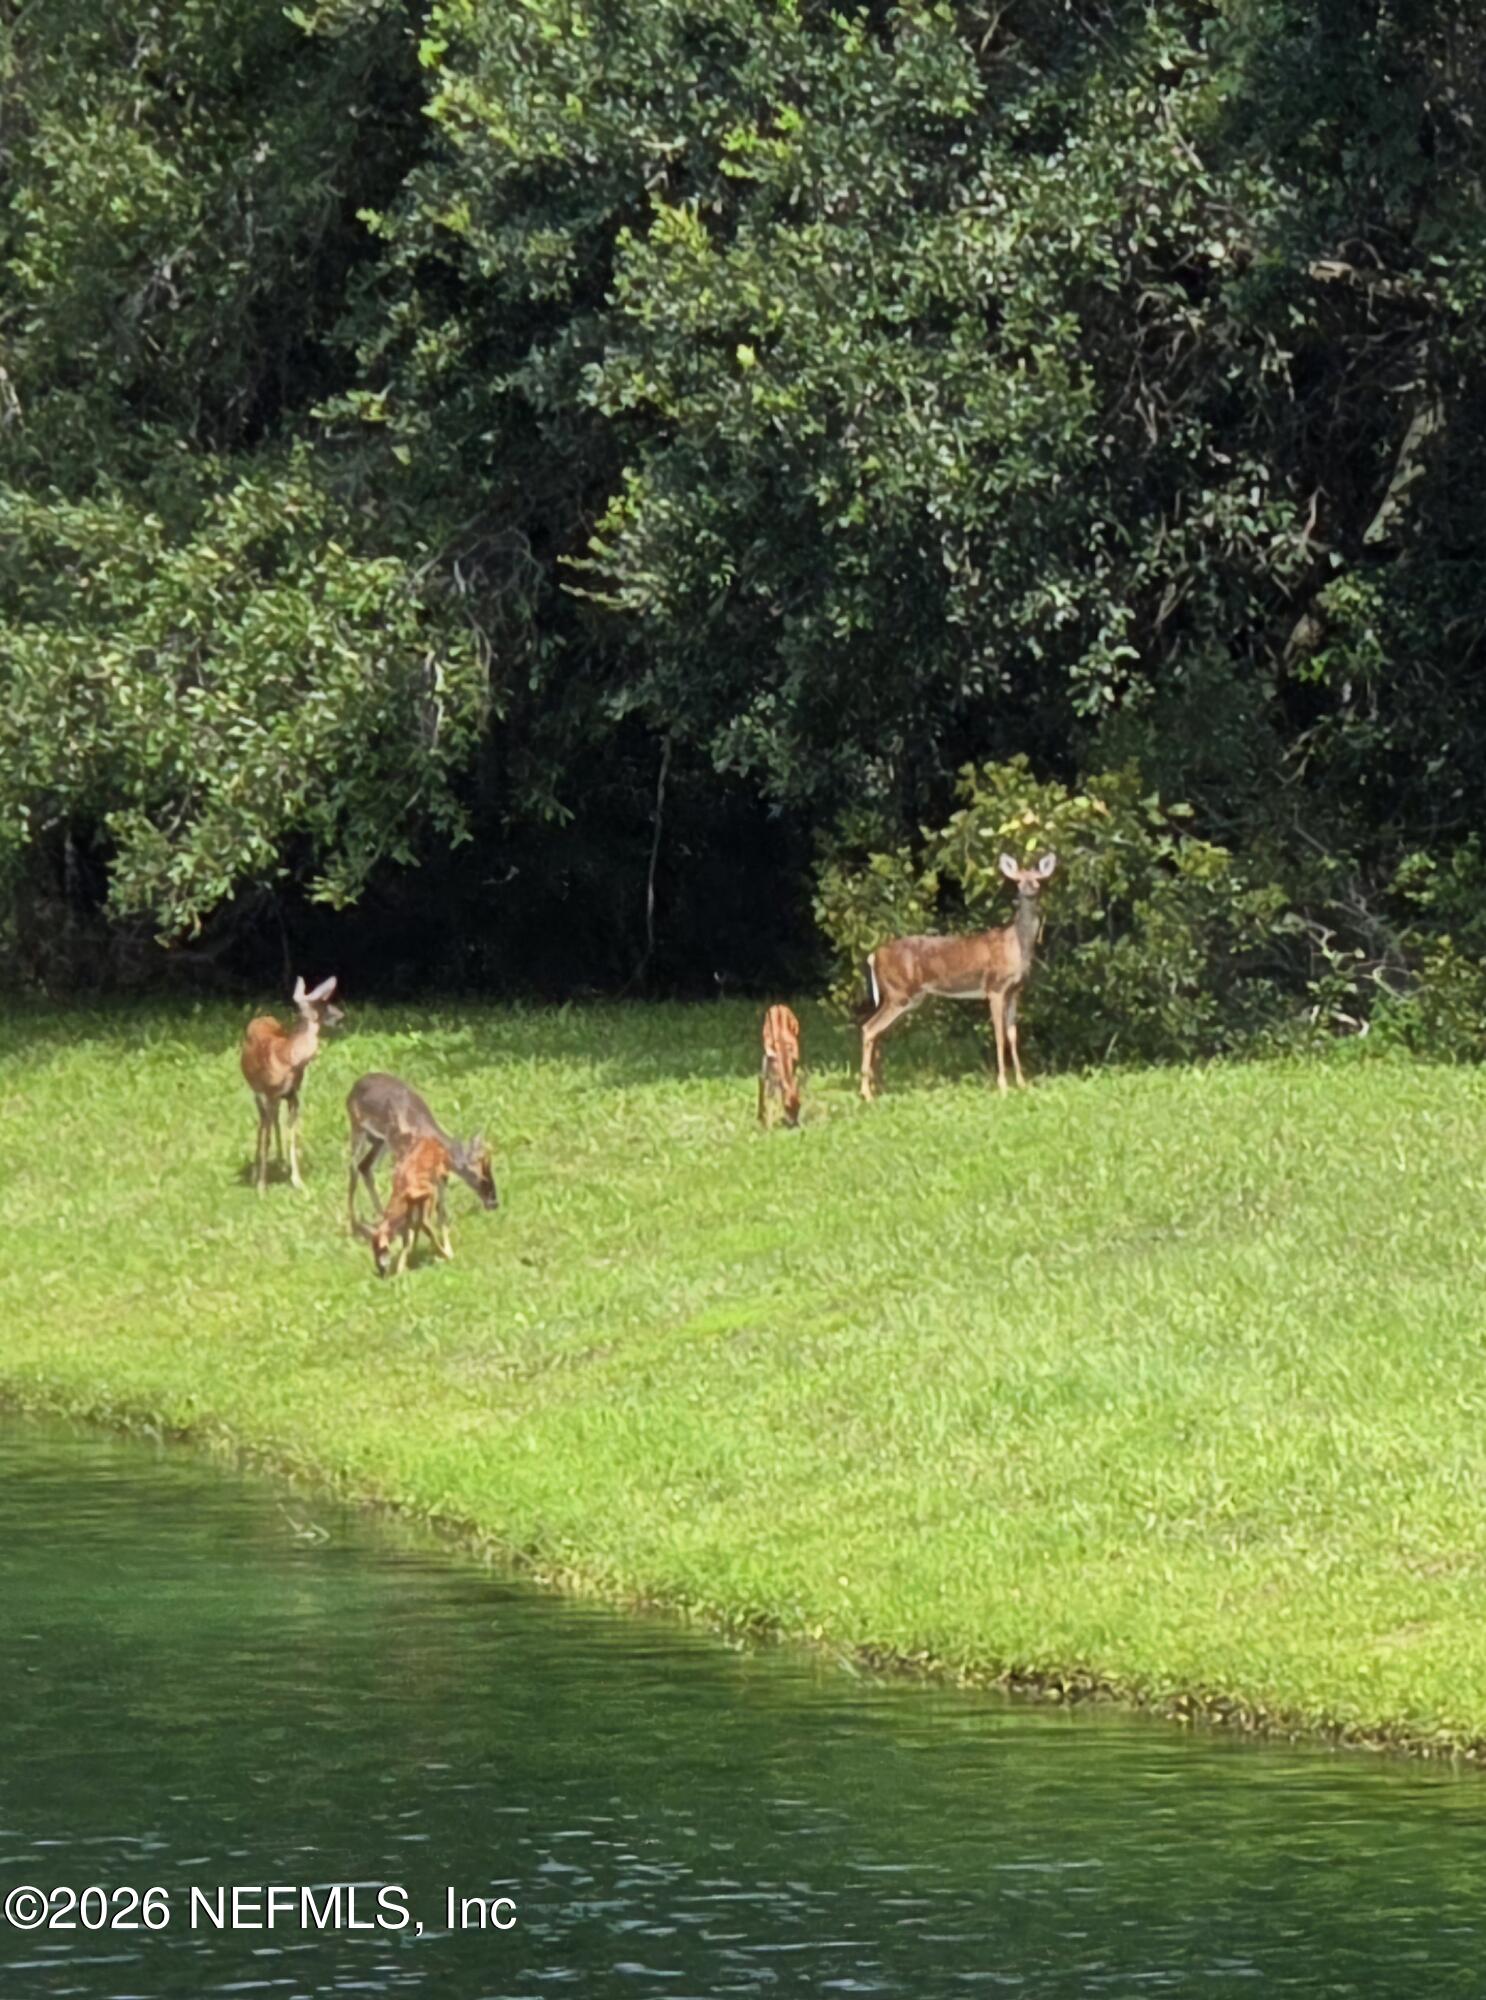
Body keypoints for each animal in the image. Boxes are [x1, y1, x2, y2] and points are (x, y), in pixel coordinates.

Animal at [240, 975, 344, 1194]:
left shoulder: (293, 1094)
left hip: (278, 1098)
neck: (290, 1059)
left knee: (274, 1121)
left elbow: (292, 1134)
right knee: (263, 1123)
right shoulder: (270, 1092)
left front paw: (297, 1180)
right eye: (323, 1002)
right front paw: (262, 1185)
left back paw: (280, 1162)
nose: (341, 1015)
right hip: (257, 1092)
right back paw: (256, 1172)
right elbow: (268, 1135)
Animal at [346, 1072, 498, 1248]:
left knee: (364, 1166)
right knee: (353, 1166)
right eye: (480, 1177)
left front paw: (443, 1227)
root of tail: (354, 1086)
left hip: (379, 1140)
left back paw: (381, 1217)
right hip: (358, 1127)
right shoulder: (402, 1155)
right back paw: (355, 1226)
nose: (494, 1202)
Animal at [369, 1137, 454, 1277]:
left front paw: (445, 1256)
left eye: (380, 1249)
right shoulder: (409, 1215)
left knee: (441, 1215)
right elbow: (407, 1241)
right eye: (373, 1249)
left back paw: (447, 1250)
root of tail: (432, 1139)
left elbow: (426, 1226)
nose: (380, 1271)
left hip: (442, 1179)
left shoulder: (429, 1194)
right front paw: (402, 1271)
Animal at [860, 852, 1058, 1101]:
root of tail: (873, 956)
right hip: (898, 993)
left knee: (877, 1033)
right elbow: (999, 1034)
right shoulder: (995, 987)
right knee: (868, 1028)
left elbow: (1013, 1034)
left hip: (905, 997)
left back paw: (877, 1088)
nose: (1029, 888)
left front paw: (1022, 1084)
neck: (1015, 944)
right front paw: (1003, 1086)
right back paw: (867, 1094)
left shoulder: (1015, 990)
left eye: (1038, 878)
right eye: (1018, 880)